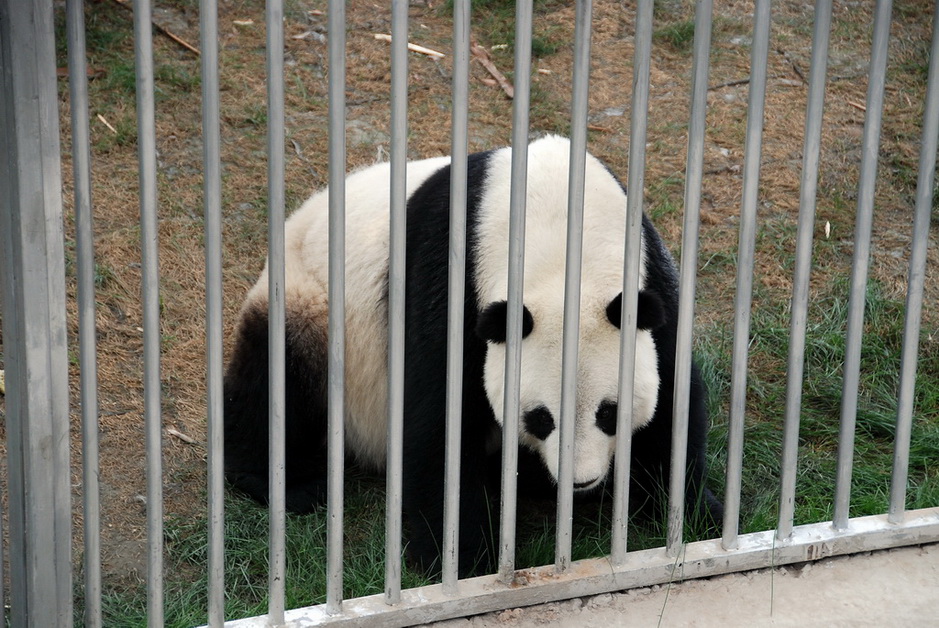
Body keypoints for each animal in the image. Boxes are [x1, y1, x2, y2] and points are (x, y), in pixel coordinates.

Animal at [224, 135, 724, 576]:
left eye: (609, 412)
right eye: (541, 418)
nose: (579, 481)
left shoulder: (649, 278)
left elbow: (673, 399)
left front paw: (697, 517)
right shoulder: (448, 283)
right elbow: (438, 421)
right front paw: (461, 563)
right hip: (313, 305)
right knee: (275, 382)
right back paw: (289, 484)